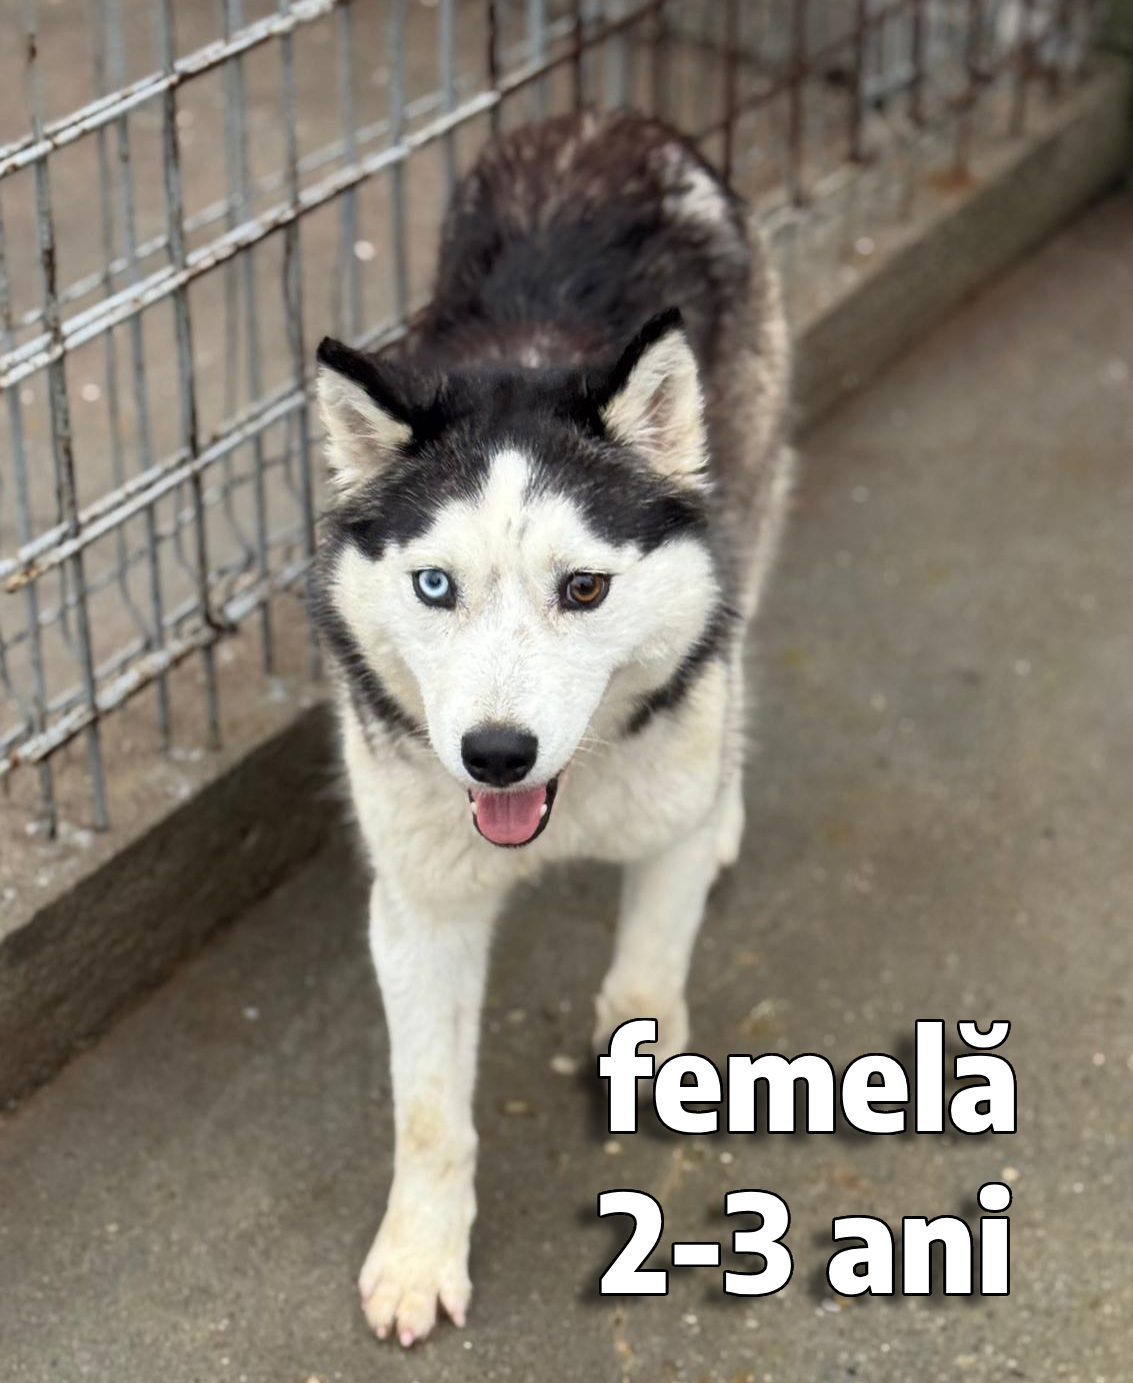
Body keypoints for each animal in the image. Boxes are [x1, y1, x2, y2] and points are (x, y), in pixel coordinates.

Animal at [310, 110, 792, 1346]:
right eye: (434, 586)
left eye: (583, 588)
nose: (495, 754)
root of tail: (608, 121)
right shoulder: (419, 905)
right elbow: (431, 1111)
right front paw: (419, 1256)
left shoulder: (661, 818)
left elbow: (643, 983)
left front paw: (648, 1065)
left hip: (750, 494)